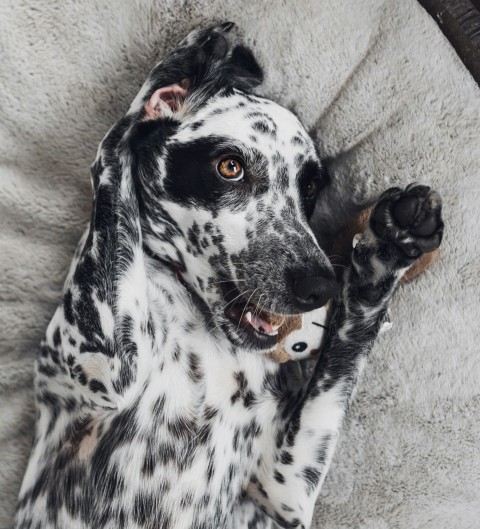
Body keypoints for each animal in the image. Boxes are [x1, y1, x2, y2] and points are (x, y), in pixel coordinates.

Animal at [14, 21, 442, 528]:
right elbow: (114, 146)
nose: (319, 287)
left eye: (309, 187)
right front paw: (189, 57)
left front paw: (387, 251)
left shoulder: (283, 491)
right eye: (230, 167)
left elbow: (348, 346)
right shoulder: (103, 364)